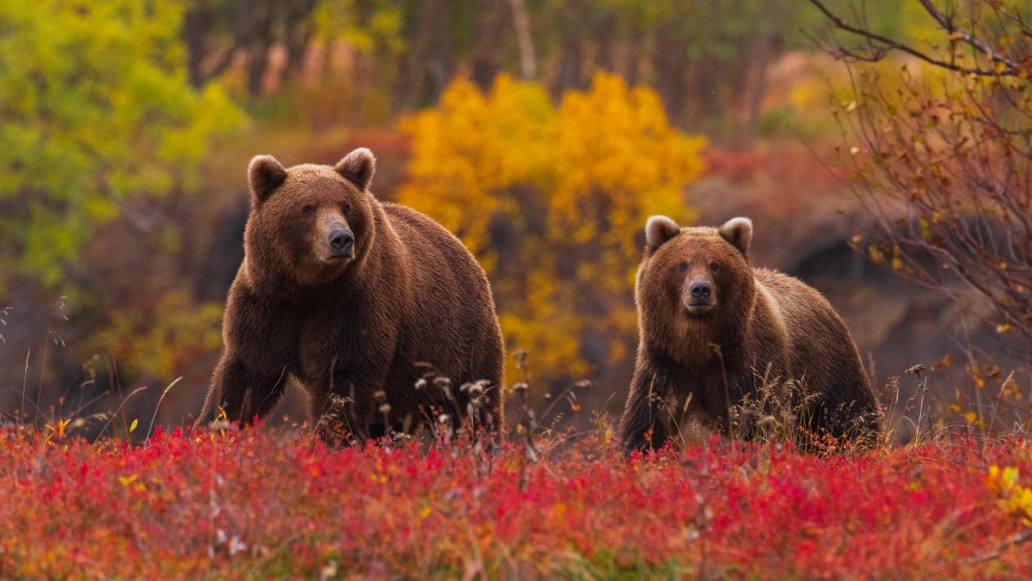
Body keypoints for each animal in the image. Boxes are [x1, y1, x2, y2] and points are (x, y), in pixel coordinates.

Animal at [196, 147, 503, 439]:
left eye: (345, 205)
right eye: (307, 207)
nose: (341, 238)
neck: (306, 289)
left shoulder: (353, 307)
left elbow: (343, 383)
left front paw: (329, 440)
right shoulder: (267, 304)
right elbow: (244, 379)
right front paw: (211, 431)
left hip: (459, 344)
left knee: (473, 406)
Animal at [615, 215, 883, 452]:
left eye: (715, 264)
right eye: (682, 264)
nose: (700, 289)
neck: (700, 346)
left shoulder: (751, 363)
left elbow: (760, 420)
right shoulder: (665, 362)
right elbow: (648, 421)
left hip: (827, 368)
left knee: (848, 417)